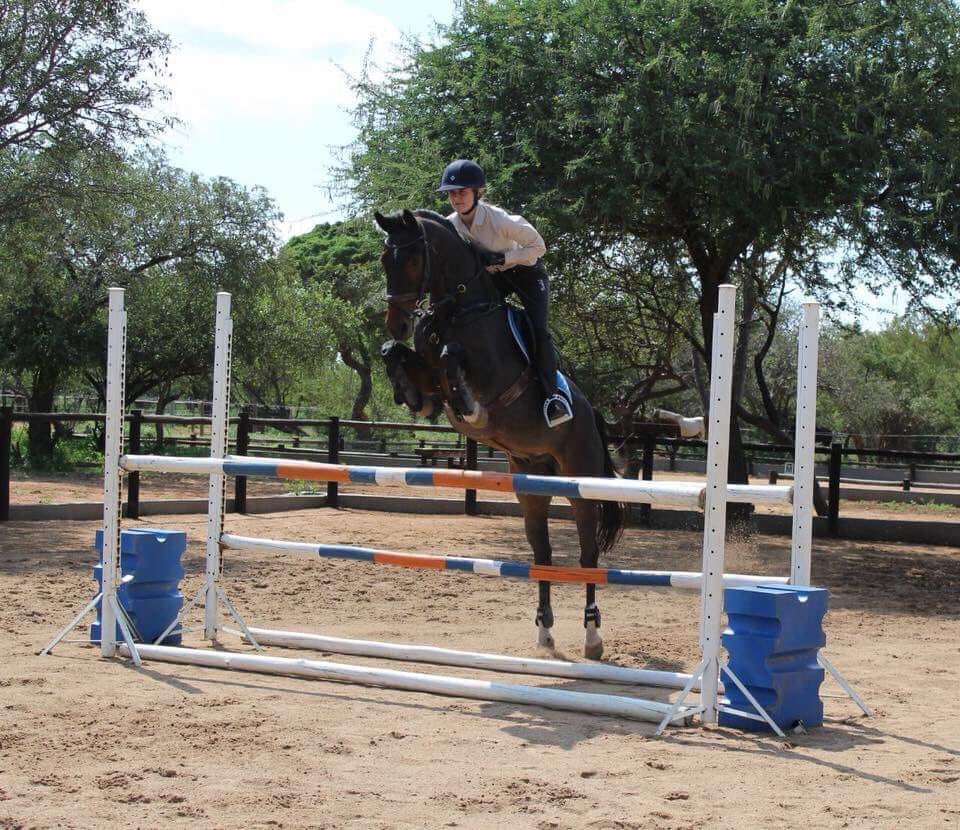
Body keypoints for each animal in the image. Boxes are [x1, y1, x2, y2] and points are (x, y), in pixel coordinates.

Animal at [372, 208, 628, 664]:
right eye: (386, 259)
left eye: (413, 259)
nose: (398, 323)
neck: (460, 311)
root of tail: (591, 413)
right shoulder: (427, 367)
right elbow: (399, 357)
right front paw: (409, 392)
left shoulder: (492, 378)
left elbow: (451, 358)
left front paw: (467, 406)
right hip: (531, 485)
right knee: (542, 554)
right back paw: (544, 632)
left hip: (580, 482)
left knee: (587, 555)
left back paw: (592, 636)